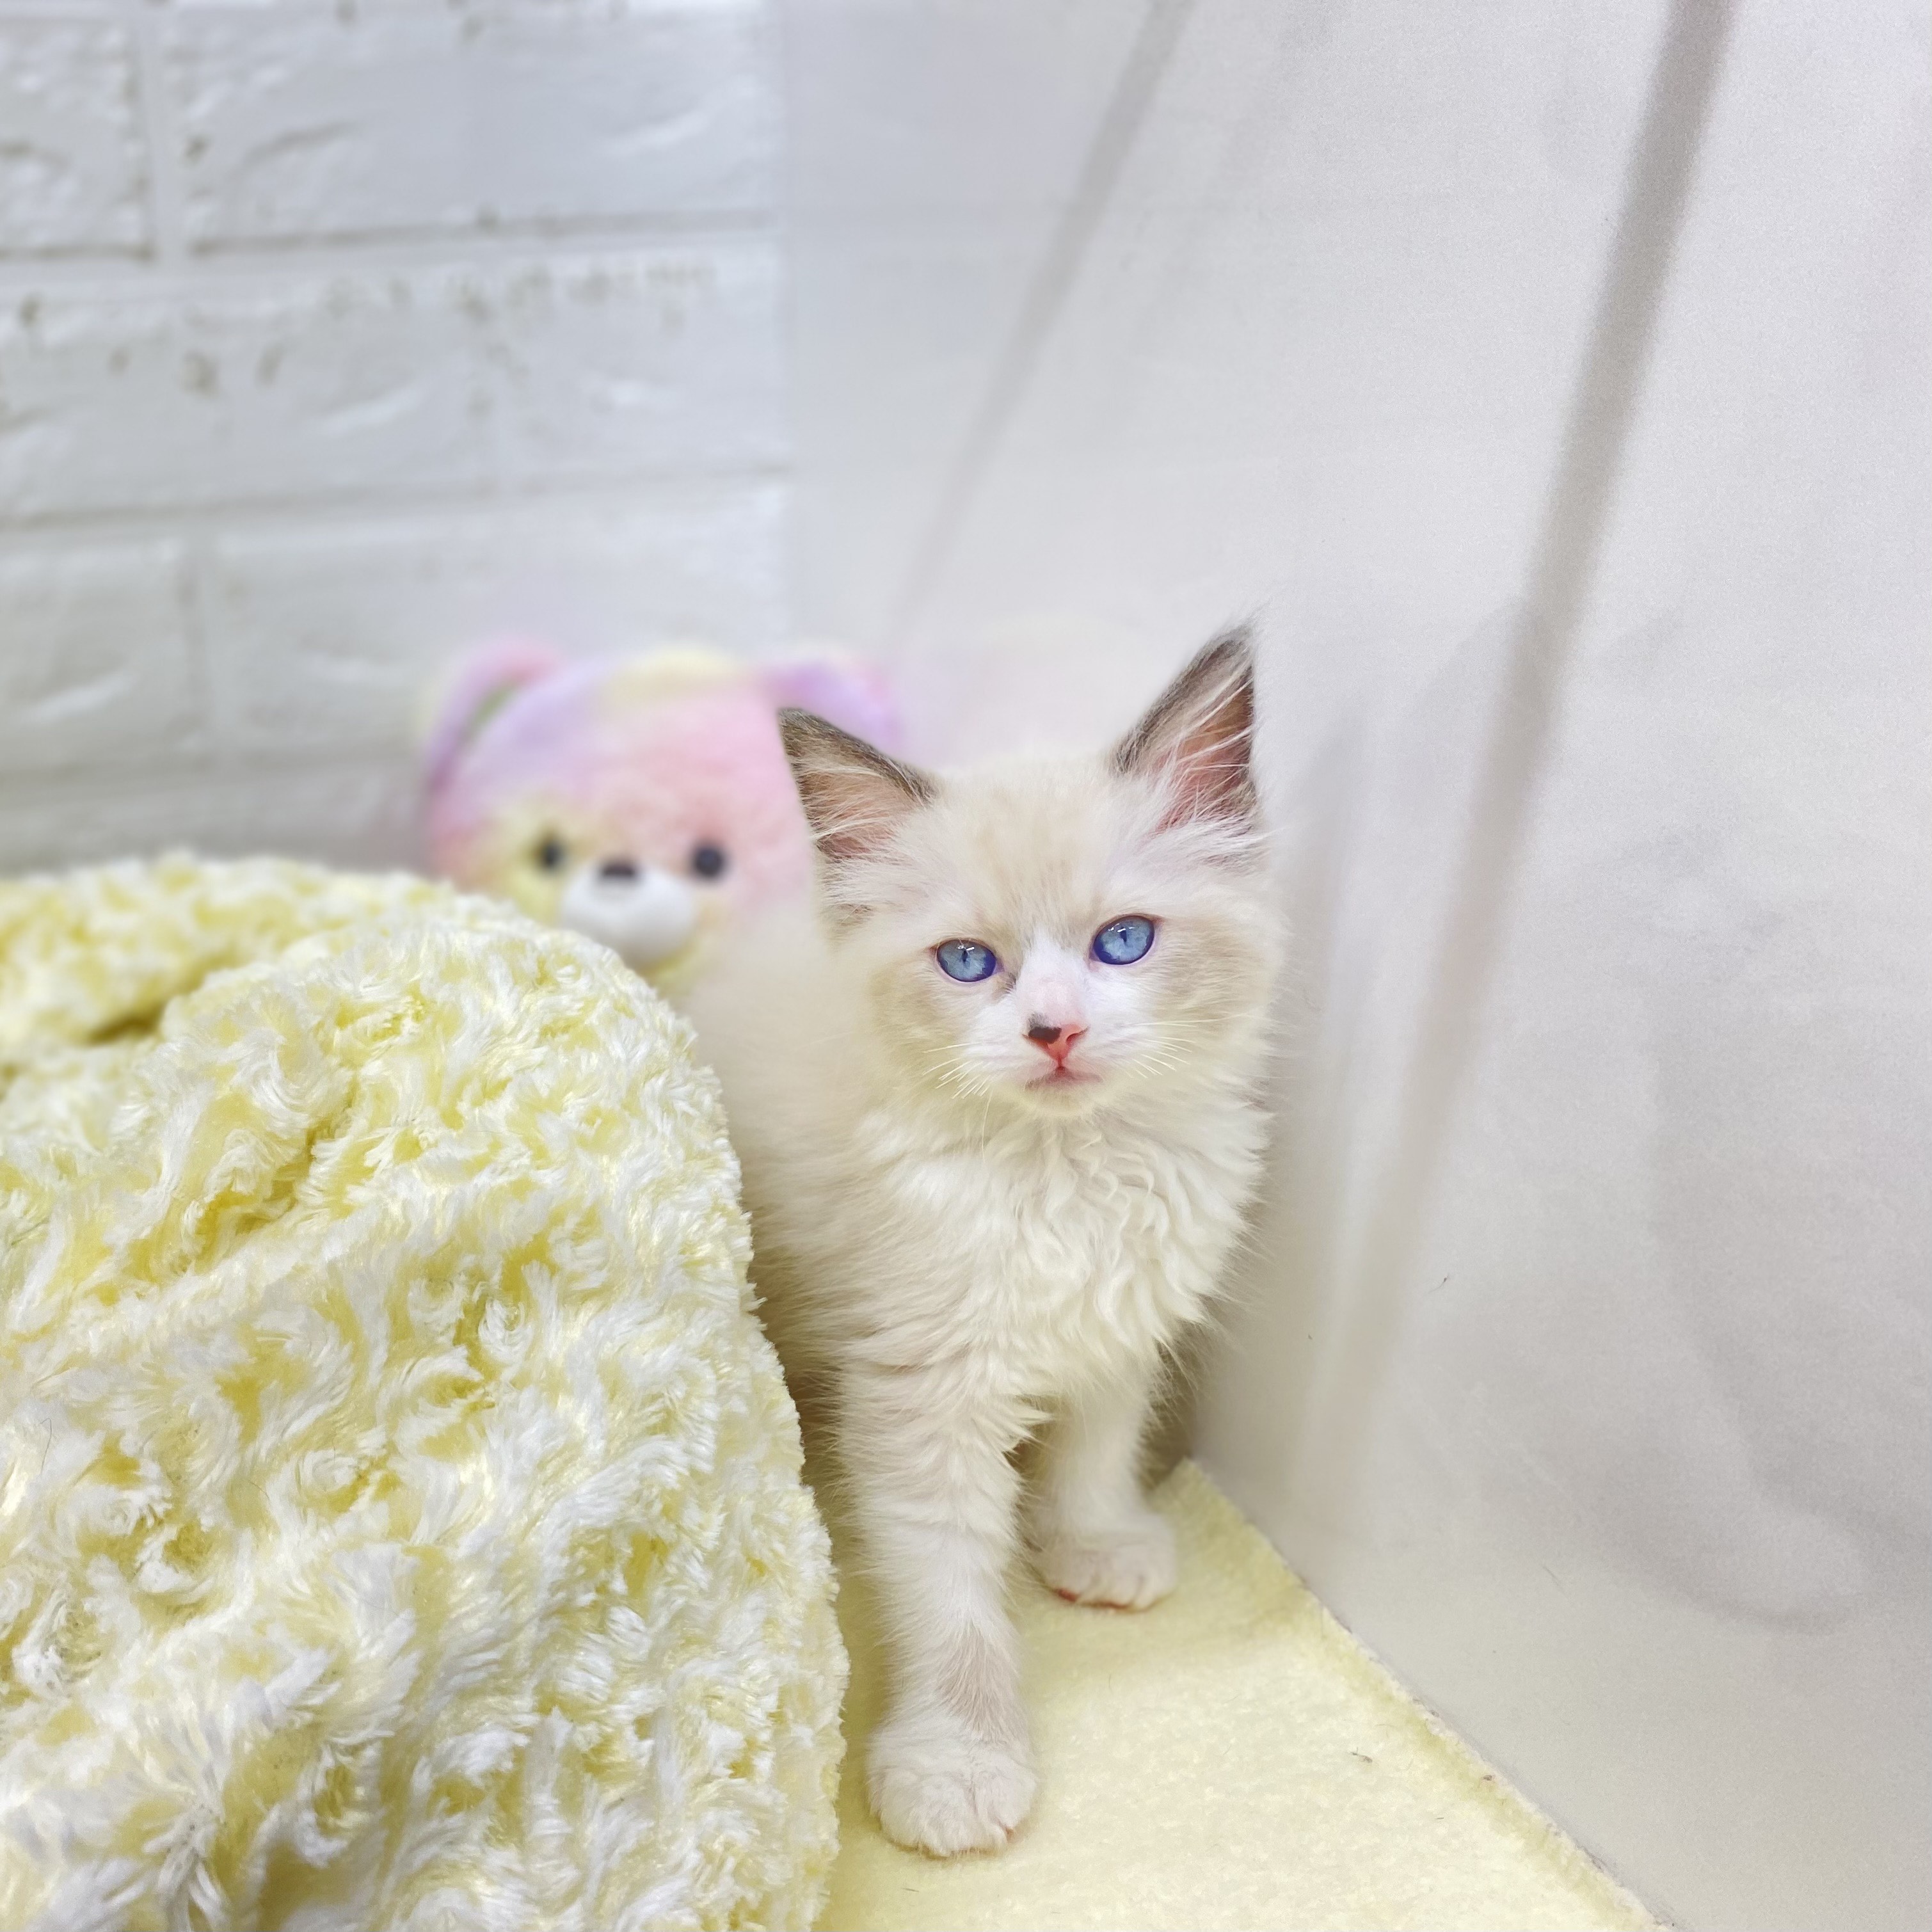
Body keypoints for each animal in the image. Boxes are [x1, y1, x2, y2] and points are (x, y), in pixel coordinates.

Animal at [681, 631, 1278, 1857]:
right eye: (967, 962)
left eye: (1121, 943)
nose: (1054, 1030)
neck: (1067, 1177)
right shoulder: (919, 1396)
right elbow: (950, 1597)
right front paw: (956, 1762)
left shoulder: (1122, 1317)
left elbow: (1095, 1444)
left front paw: (1092, 1541)